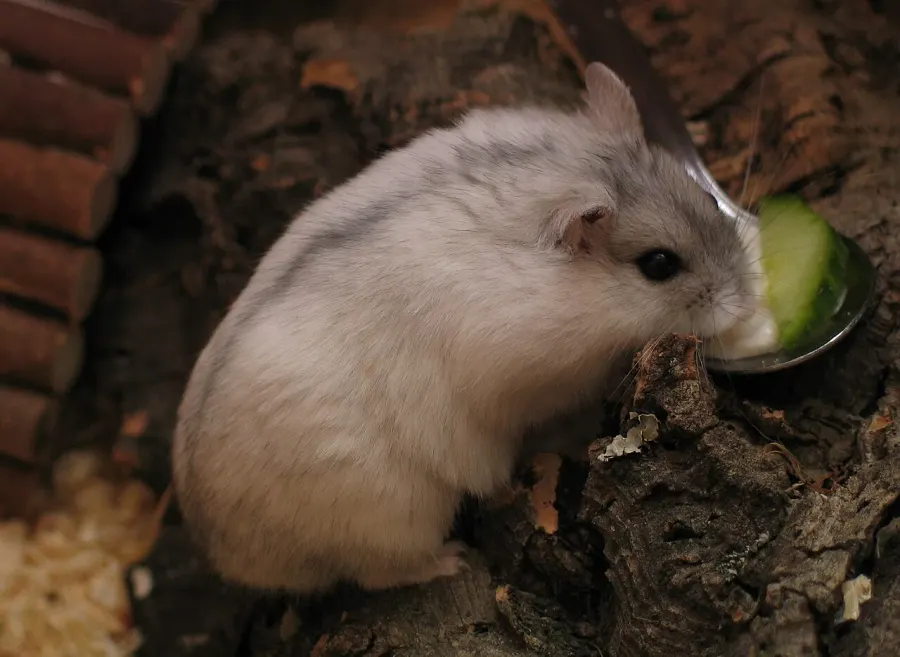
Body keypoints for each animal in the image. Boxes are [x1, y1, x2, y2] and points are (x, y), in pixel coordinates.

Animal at [171, 62, 754, 594]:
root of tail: (220, 550)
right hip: (393, 516)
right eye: (658, 265)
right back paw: (452, 561)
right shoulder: (531, 381)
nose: (746, 305)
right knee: (378, 573)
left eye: (708, 199)